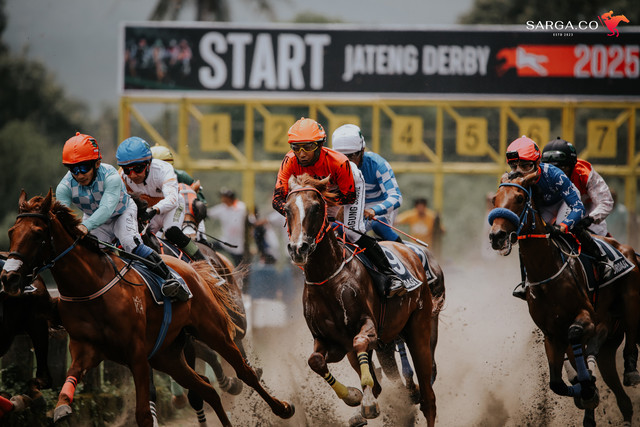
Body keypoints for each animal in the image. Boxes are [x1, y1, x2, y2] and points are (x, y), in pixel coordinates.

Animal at [0, 191, 296, 427]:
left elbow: (144, 412)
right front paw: (58, 407)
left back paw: (280, 406)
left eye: (38, 233)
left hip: (213, 330)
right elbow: (69, 381)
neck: (91, 287)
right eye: (12, 233)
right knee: (205, 389)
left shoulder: (138, 355)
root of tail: (192, 269)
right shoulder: (87, 350)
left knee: (243, 370)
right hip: (167, 355)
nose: (9, 277)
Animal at [284, 175, 440, 427]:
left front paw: (366, 402)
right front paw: (353, 396)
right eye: (287, 209)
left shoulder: (368, 326)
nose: (298, 248)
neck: (328, 278)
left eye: (316, 208)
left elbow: (361, 344)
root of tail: (411, 253)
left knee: (429, 398)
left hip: (420, 330)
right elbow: (315, 360)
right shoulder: (331, 342)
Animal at [490, 171, 640, 427]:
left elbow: (576, 333)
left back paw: (630, 368)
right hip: (608, 348)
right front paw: (585, 390)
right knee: (623, 399)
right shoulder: (551, 334)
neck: (547, 272)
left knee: (630, 332)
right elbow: (557, 383)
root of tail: (626, 249)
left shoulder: (587, 316)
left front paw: (587, 387)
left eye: (520, 198)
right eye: (495, 199)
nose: (496, 236)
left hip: (630, 297)